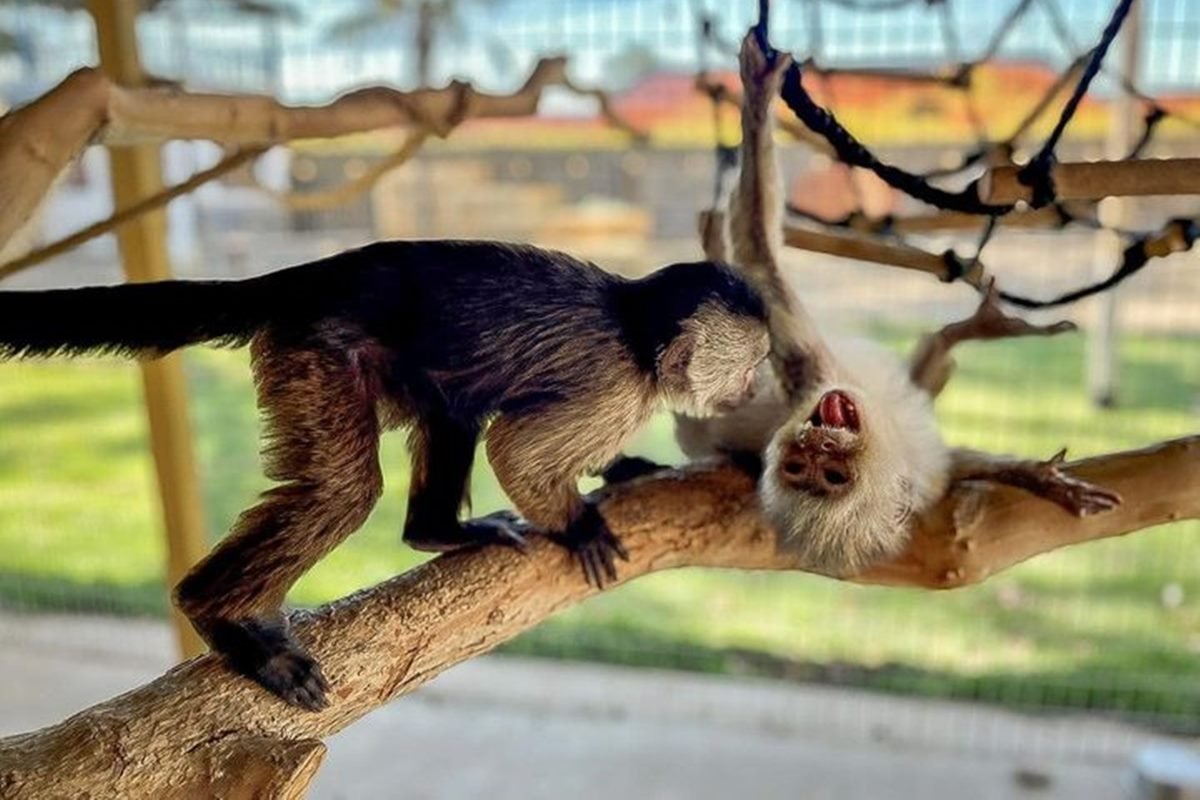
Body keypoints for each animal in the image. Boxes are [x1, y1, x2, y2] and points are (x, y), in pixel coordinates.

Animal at [0, 241, 768, 710]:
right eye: (756, 363)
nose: (756, 387)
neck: (638, 332)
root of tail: (318, 273)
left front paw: (624, 467)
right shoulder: (614, 383)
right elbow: (520, 451)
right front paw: (577, 523)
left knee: (453, 407)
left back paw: (436, 531)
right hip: (317, 350)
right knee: (347, 490)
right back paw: (222, 618)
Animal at [609, 32, 1123, 575]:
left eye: (831, 475)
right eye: (804, 470)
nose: (817, 441)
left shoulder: (925, 473)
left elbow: (963, 463)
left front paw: (1038, 477)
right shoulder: (810, 378)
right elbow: (760, 258)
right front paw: (758, 96)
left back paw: (963, 334)